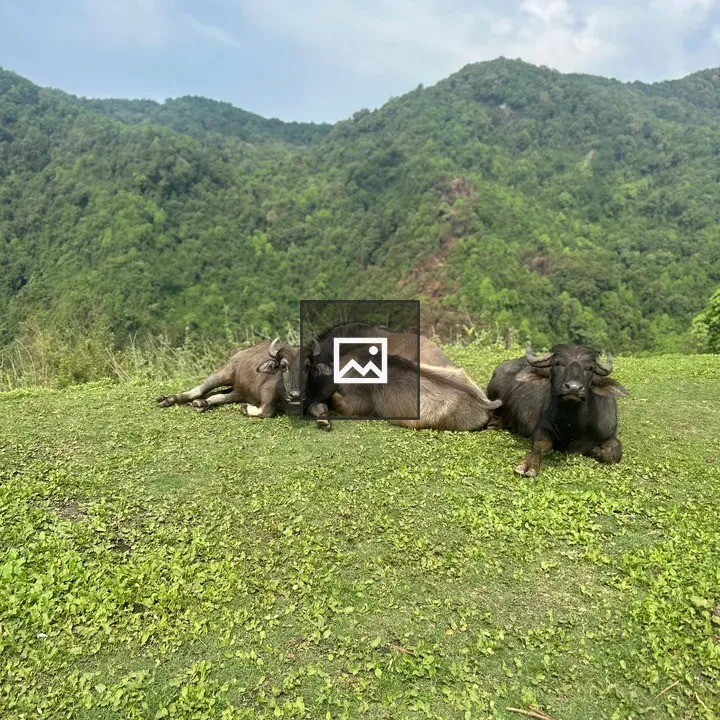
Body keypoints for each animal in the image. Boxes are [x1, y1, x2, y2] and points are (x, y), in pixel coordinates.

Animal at [487, 343, 628, 477]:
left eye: (590, 368)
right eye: (558, 363)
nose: (573, 388)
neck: (574, 427)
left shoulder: (608, 433)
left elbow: (613, 453)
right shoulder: (543, 426)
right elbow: (543, 444)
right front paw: (528, 465)